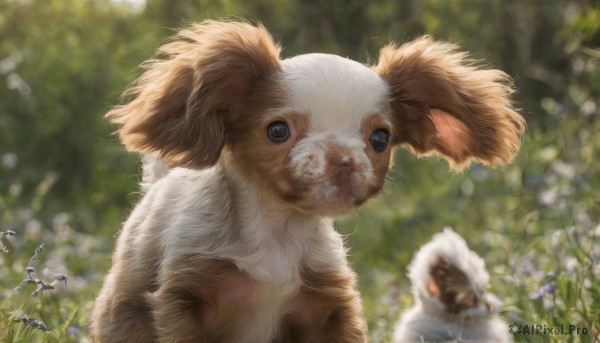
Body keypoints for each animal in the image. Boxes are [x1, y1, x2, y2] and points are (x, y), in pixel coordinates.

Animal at [89, 20, 524, 342]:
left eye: (380, 139)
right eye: (278, 131)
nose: (343, 160)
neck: (277, 232)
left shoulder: (324, 308)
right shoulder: (185, 298)